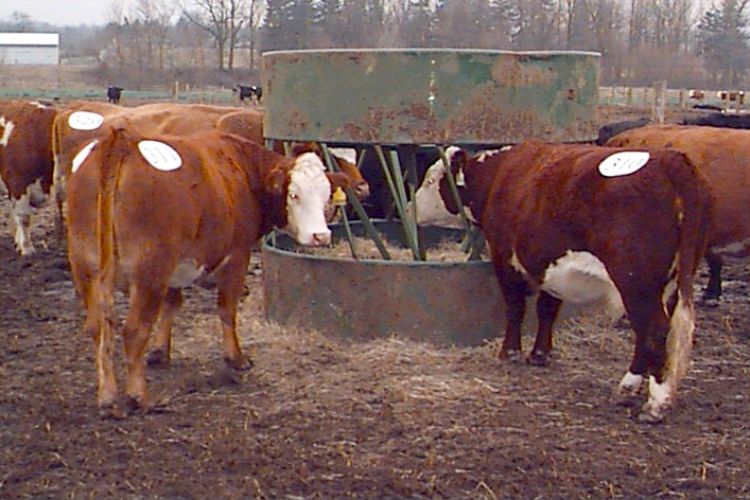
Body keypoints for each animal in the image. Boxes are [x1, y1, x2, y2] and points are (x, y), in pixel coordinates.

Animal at [66, 123, 348, 412]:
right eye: (294, 194)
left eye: (326, 195)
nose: (321, 236)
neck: (241, 169)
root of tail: (121, 142)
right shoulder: (237, 256)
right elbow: (226, 309)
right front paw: (236, 358)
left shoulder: (175, 266)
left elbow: (172, 303)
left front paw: (160, 351)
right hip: (149, 274)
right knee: (133, 330)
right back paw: (138, 396)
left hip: (86, 268)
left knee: (98, 326)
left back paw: (107, 394)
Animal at [426, 141, 712, 422]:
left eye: (430, 180)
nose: (414, 210)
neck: (499, 173)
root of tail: (671, 160)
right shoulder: (550, 266)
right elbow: (547, 309)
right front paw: (539, 355)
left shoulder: (503, 258)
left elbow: (516, 307)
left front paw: (510, 353)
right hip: (668, 283)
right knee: (649, 332)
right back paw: (627, 388)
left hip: (637, 283)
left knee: (654, 330)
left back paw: (655, 405)